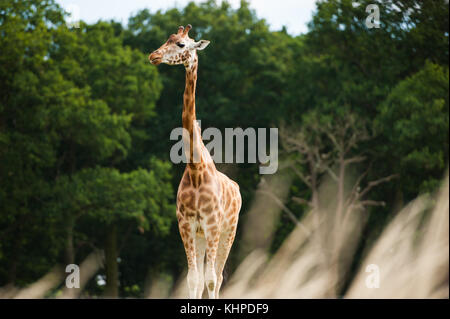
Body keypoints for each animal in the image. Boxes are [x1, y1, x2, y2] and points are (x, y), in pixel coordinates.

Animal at [149, 25, 243, 300]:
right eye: (167, 40)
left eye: (181, 44)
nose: (153, 56)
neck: (195, 169)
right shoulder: (187, 224)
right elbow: (193, 280)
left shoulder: (212, 224)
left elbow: (211, 279)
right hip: (202, 236)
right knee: (203, 277)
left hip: (228, 232)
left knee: (218, 277)